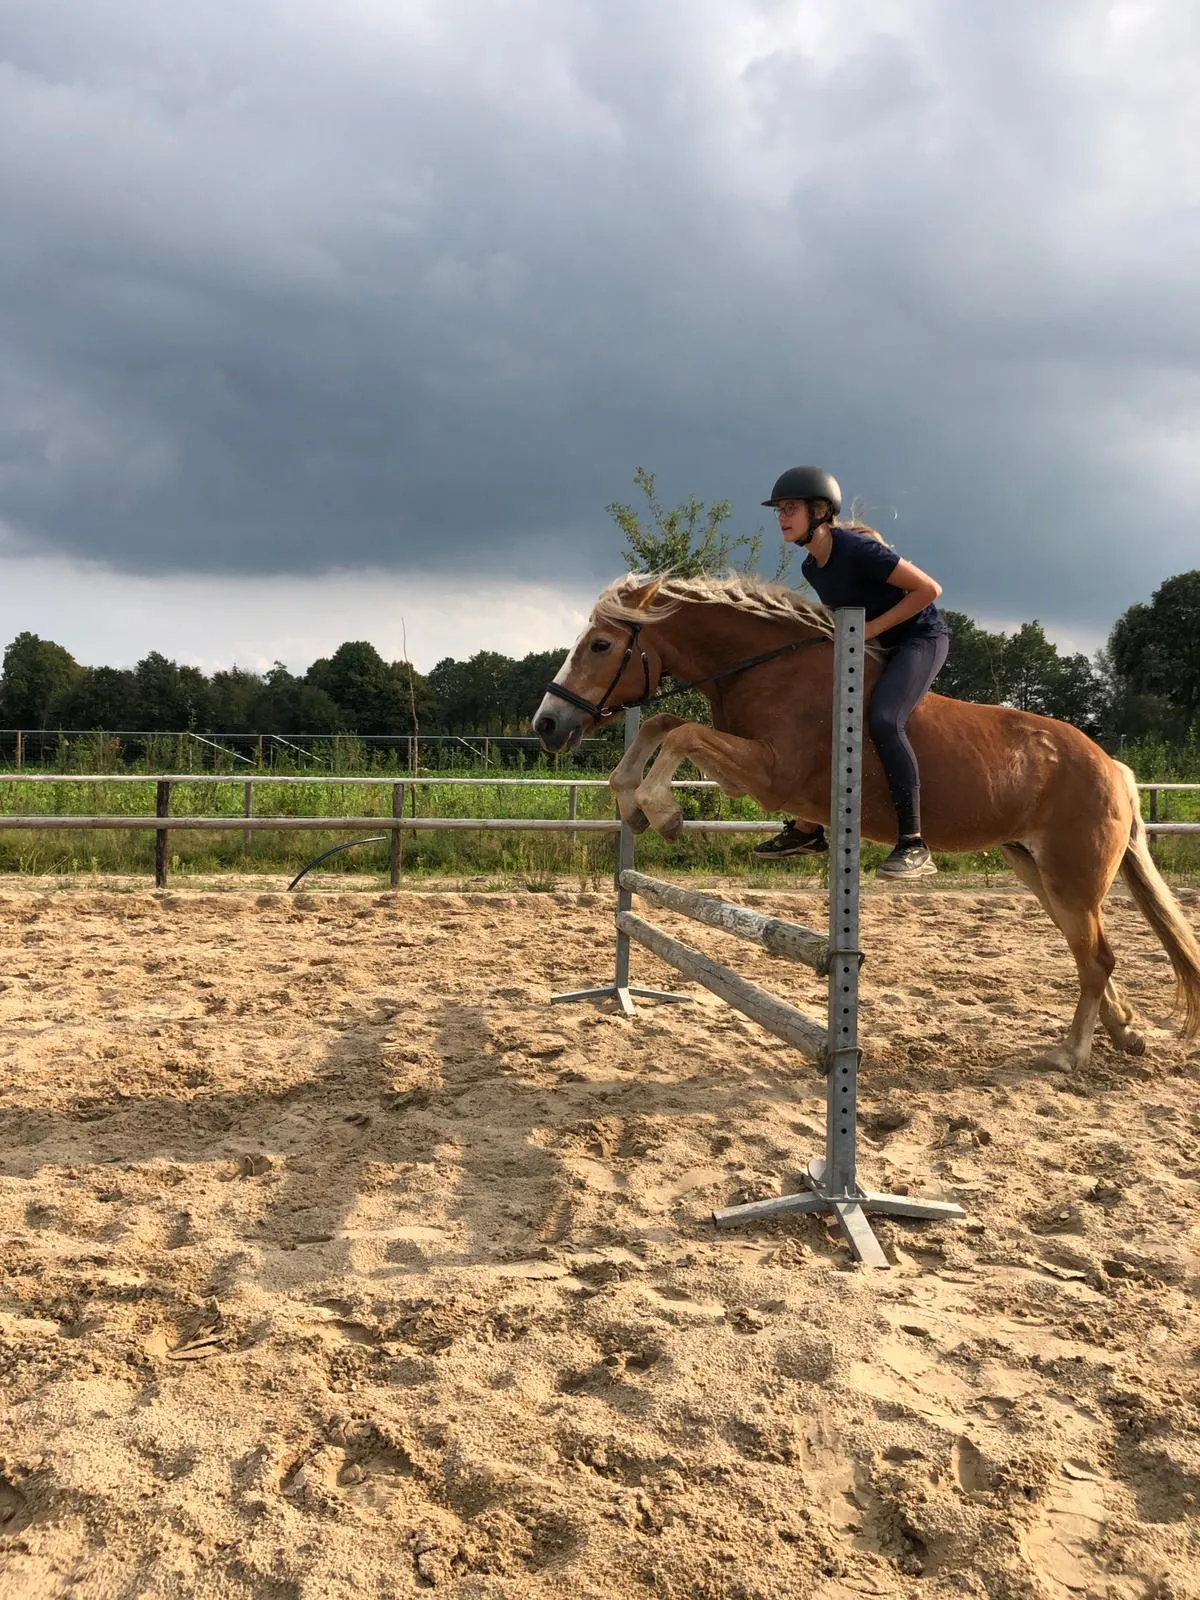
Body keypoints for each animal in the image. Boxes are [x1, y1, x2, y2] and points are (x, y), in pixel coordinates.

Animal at [531, 572, 1200, 1071]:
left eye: (599, 645)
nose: (547, 724)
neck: (765, 667)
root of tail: (1112, 766)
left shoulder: (770, 771)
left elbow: (681, 731)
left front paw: (662, 812)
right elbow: (661, 722)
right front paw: (629, 801)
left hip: (1071, 876)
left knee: (1097, 957)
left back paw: (1071, 1053)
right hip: (1035, 868)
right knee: (1089, 951)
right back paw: (1126, 1034)